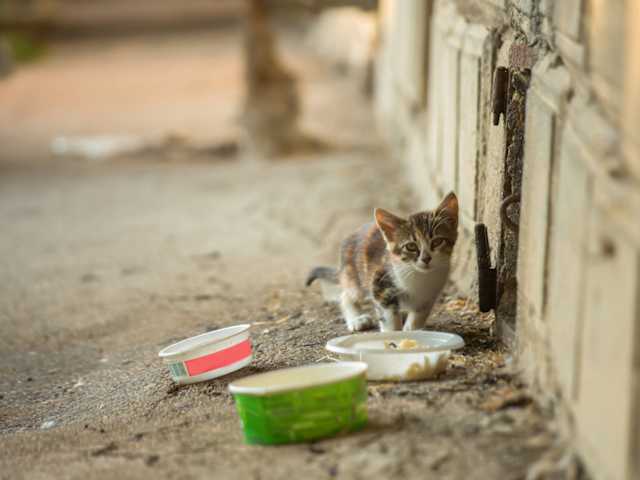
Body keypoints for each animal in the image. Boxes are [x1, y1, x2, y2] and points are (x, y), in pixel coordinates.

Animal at [308, 191, 458, 330]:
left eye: (437, 242)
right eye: (411, 246)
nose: (426, 258)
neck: (419, 276)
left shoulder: (430, 295)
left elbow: (420, 313)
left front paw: (413, 329)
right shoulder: (381, 283)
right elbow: (388, 316)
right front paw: (393, 334)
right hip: (356, 277)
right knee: (346, 295)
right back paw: (356, 319)